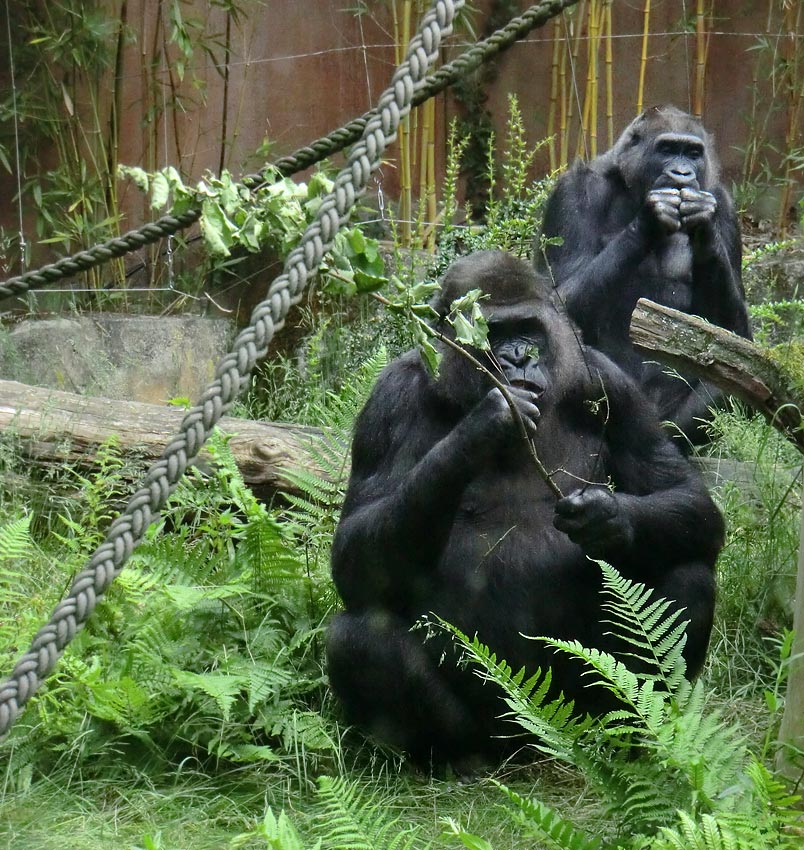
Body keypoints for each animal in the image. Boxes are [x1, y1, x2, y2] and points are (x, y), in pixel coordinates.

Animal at [324, 248, 724, 764]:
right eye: (493, 333)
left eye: (528, 330)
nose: (518, 357)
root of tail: (535, 736)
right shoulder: (390, 397)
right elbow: (354, 559)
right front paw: (479, 429)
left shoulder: (610, 381)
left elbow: (686, 496)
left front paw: (606, 518)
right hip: (500, 725)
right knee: (358, 639)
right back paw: (455, 755)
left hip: (579, 709)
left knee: (687, 573)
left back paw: (635, 737)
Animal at [532, 105, 752, 448]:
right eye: (667, 149)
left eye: (693, 153)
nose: (682, 174)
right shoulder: (573, 191)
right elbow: (555, 301)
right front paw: (648, 221)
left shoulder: (726, 207)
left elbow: (736, 341)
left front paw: (705, 228)